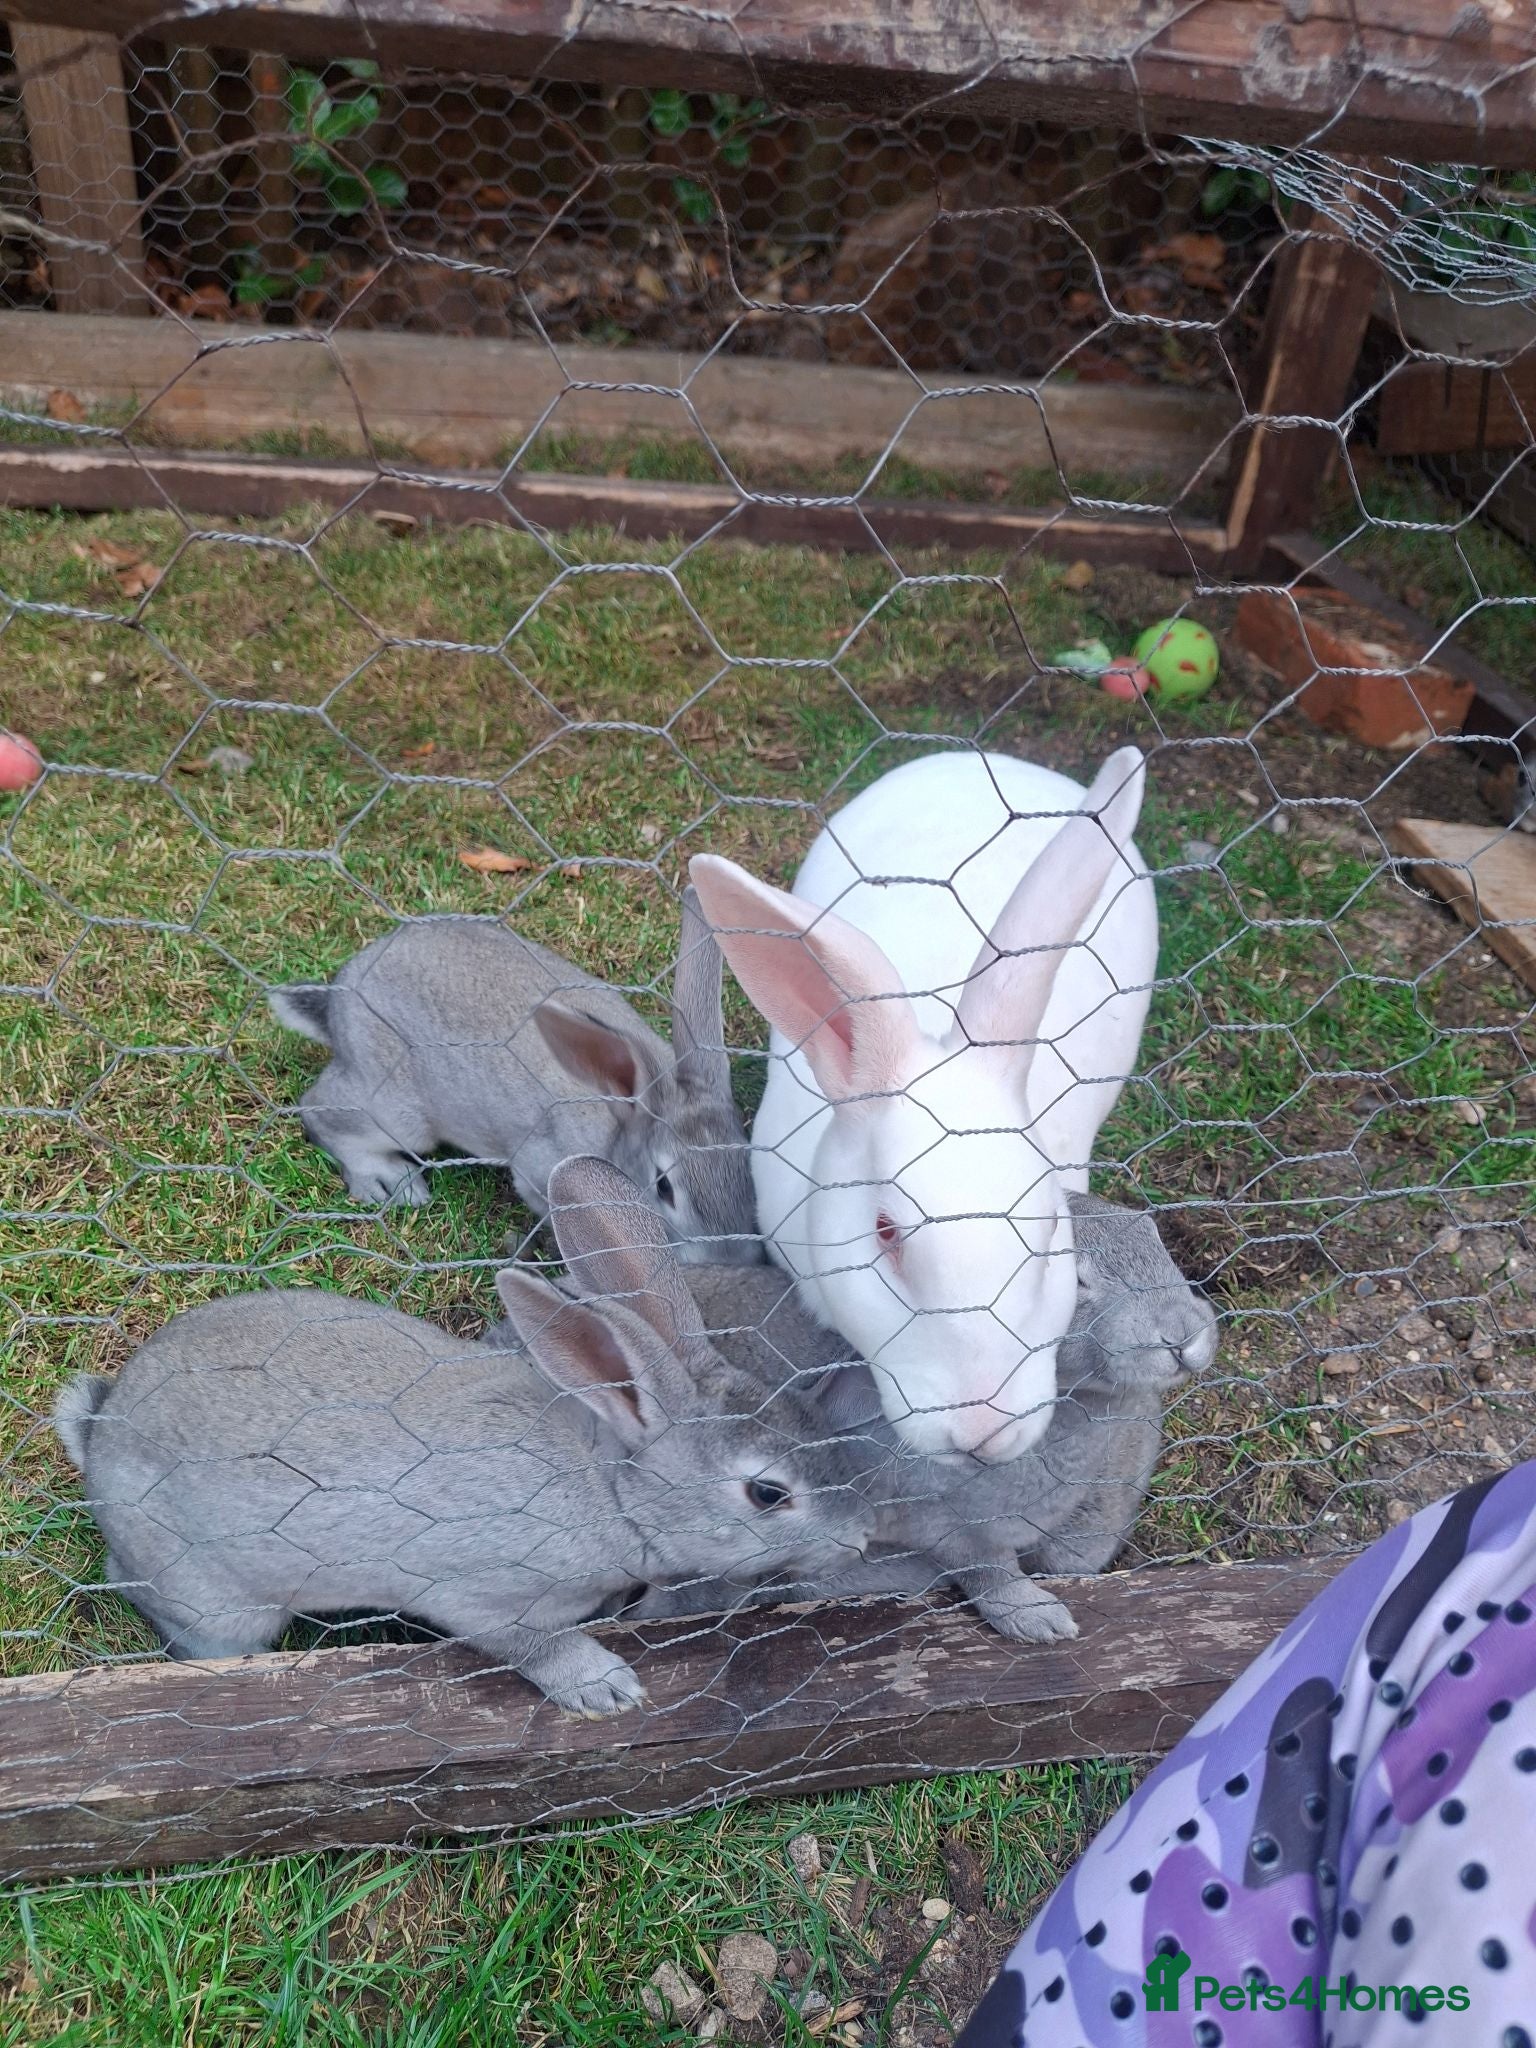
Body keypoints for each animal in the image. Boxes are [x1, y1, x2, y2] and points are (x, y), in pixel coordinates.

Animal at [53, 1157, 871, 1717]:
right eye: (767, 1493)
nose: (861, 1541)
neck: (609, 1483)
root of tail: (100, 1435)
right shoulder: (480, 1595)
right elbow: (526, 1644)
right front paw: (607, 1688)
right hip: (225, 1606)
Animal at [267, 888, 762, 1263]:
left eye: (749, 1165)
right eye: (664, 1186)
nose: (731, 1262)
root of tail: (337, 1006)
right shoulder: (540, 1169)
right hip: (396, 1110)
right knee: (320, 1110)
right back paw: (389, 1182)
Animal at [622, 1191, 1216, 1643]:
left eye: (1154, 1239)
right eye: (1075, 1282)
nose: (1184, 1337)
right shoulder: (945, 1523)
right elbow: (986, 1568)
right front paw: (1041, 1623)